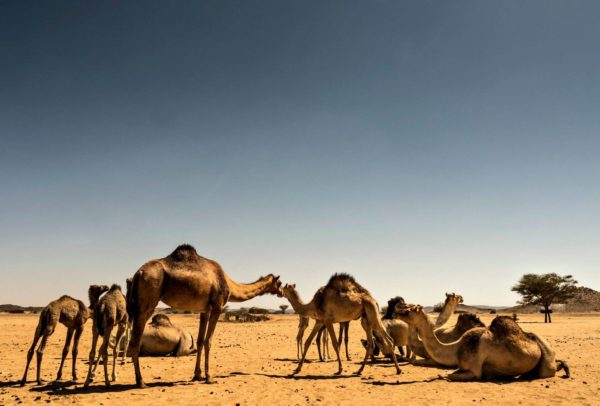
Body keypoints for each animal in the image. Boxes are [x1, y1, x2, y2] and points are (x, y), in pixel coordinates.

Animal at [126, 244, 282, 386]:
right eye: (279, 282)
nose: (281, 292)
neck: (228, 284)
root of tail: (138, 274)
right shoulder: (217, 306)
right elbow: (209, 341)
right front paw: (209, 377)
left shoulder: (204, 310)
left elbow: (200, 340)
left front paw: (197, 375)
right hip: (147, 301)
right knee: (134, 342)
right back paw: (141, 382)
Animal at [392, 304, 568, 380]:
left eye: (409, 310)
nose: (395, 311)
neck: (455, 348)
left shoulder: (474, 370)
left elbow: (445, 375)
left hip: (546, 360)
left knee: (547, 370)